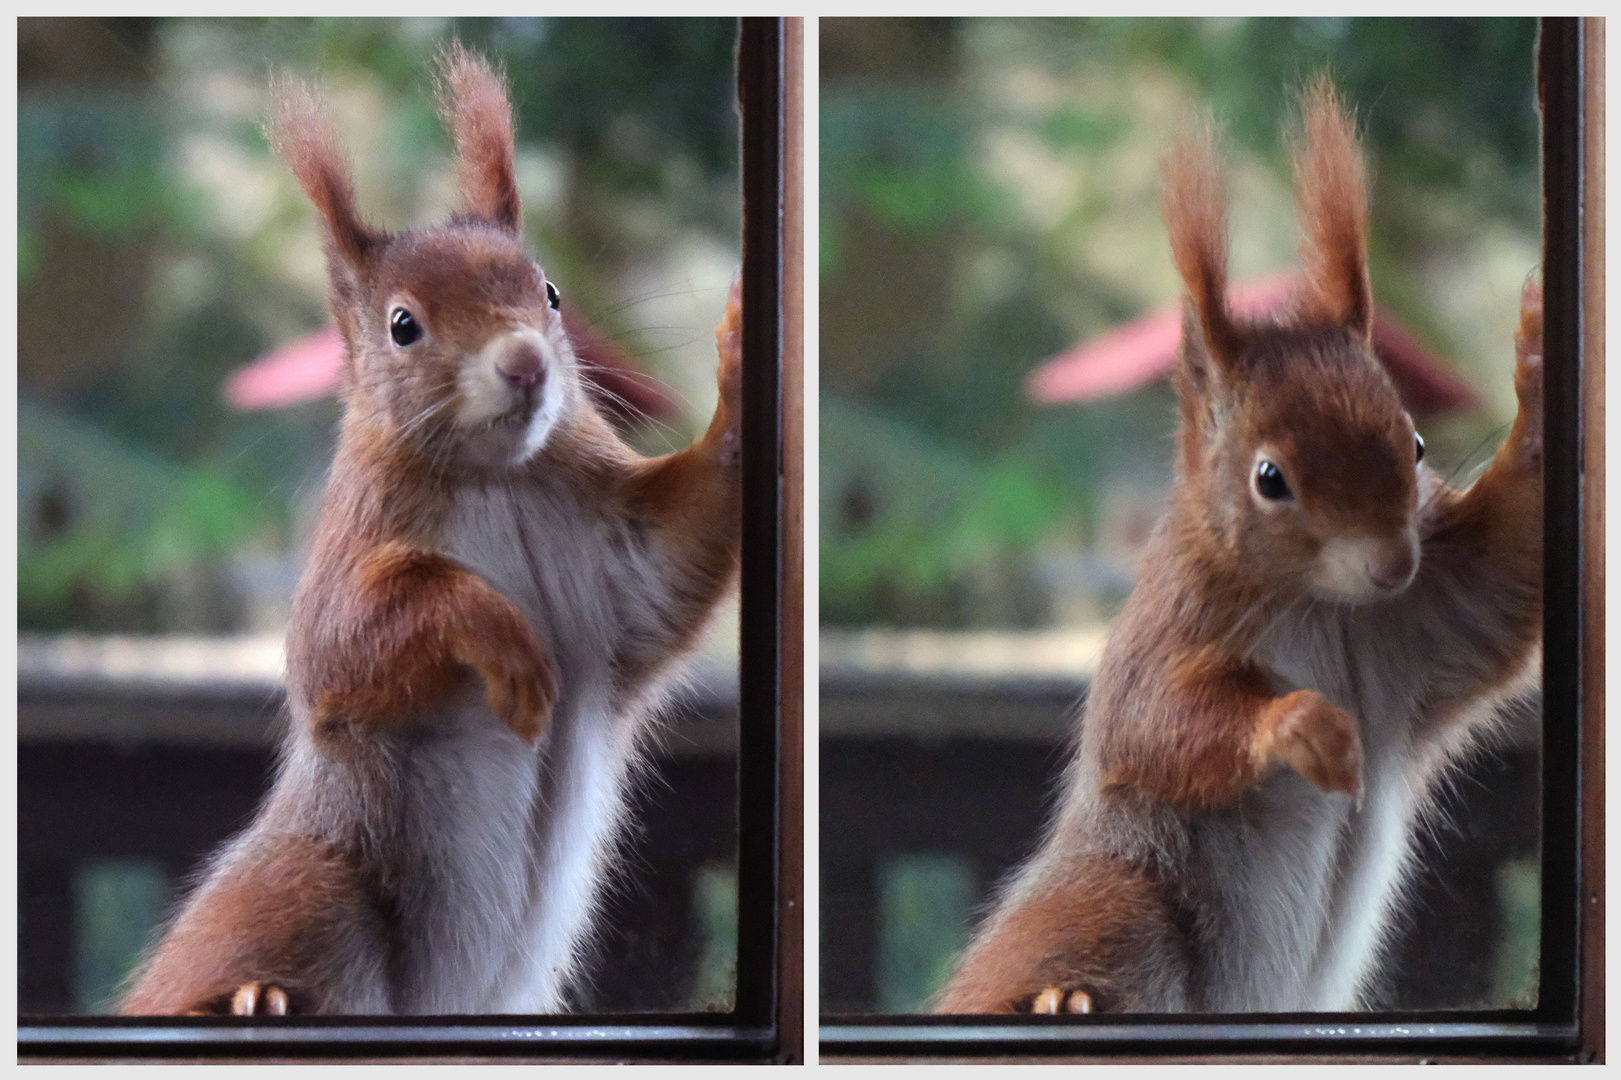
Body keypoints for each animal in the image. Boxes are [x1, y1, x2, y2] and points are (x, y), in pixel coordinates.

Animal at [118, 44, 742, 1018]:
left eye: (549, 293)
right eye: (402, 325)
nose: (524, 365)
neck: (499, 483)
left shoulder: (619, 551)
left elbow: (678, 546)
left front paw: (744, 361)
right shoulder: (347, 556)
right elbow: (354, 637)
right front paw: (510, 648)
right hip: (312, 890)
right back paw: (251, 997)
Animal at [933, 79, 1536, 1011]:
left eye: (1414, 446)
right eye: (1269, 479)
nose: (1391, 564)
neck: (1326, 609)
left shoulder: (1425, 622)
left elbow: (1503, 576)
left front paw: (1539, 371)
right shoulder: (1165, 629)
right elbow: (1159, 725)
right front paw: (1300, 723)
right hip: (1119, 893)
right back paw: (1058, 998)